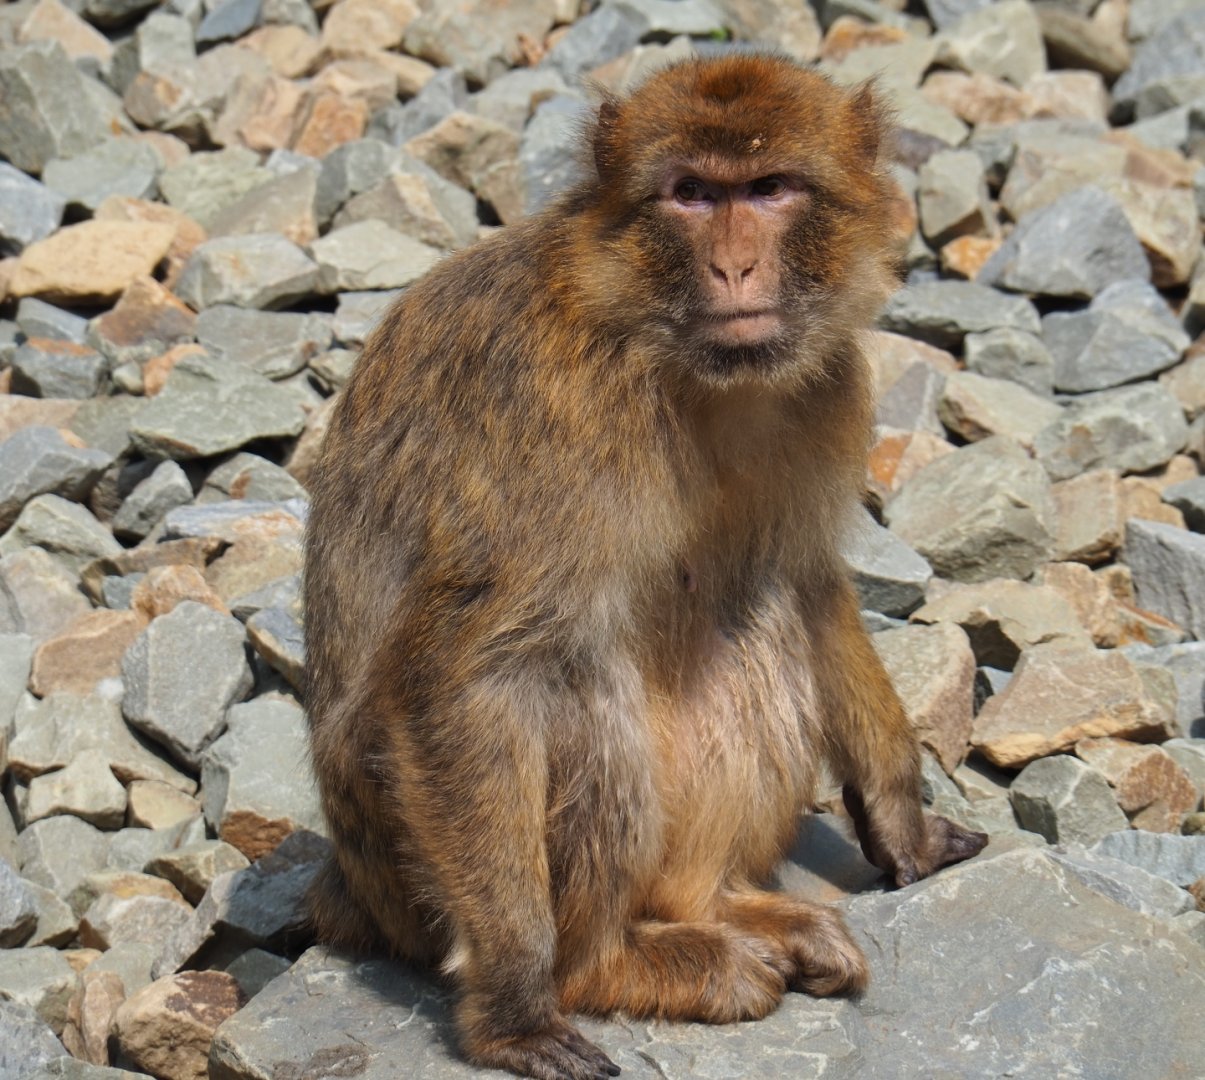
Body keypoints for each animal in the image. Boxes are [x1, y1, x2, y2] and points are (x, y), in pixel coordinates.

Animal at [303, 54, 988, 1080]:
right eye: (692, 195)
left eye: (769, 189)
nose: (735, 266)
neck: (671, 358)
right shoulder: (550, 408)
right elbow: (461, 676)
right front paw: (514, 1009)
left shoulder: (826, 385)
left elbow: (809, 579)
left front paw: (899, 819)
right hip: (401, 873)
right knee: (568, 676)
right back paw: (608, 965)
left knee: (757, 611)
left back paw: (728, 910)